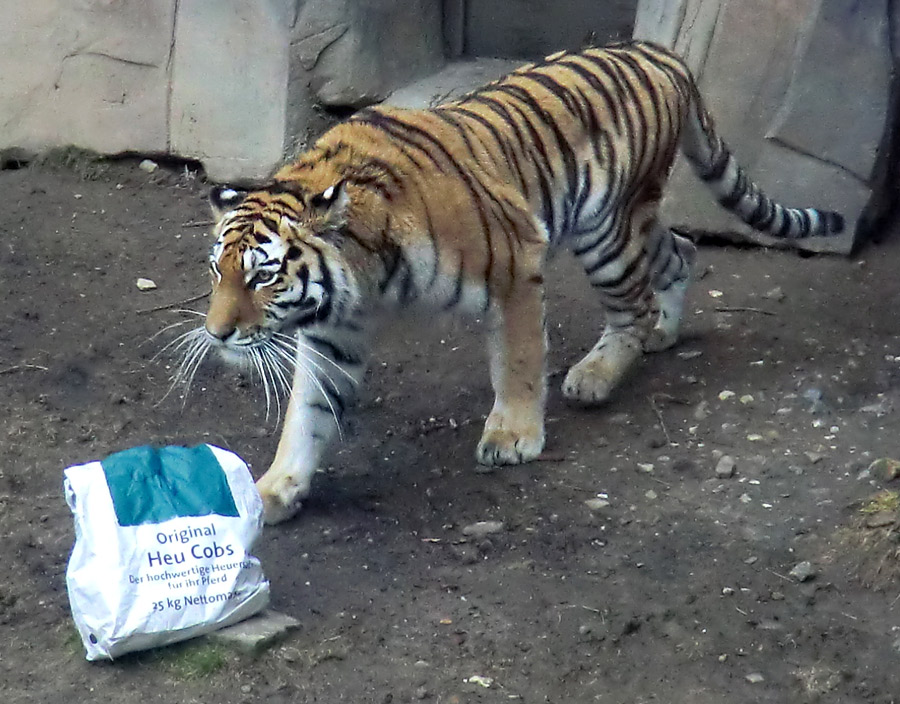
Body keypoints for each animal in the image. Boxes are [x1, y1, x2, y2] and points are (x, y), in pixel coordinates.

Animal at [188, 38, 844, 524]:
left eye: (264, 275)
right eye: (219, 271)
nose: (217, 334)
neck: (365, 274)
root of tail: (663, 53)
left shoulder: (514, 270)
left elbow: (519, 363)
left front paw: (513, 437)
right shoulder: (334, 332)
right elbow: (308, 413)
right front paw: (275, 490)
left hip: (606, 231)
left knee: (631, 305)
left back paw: (596, 375)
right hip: (631, 220)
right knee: (679, 252)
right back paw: (665, 332)